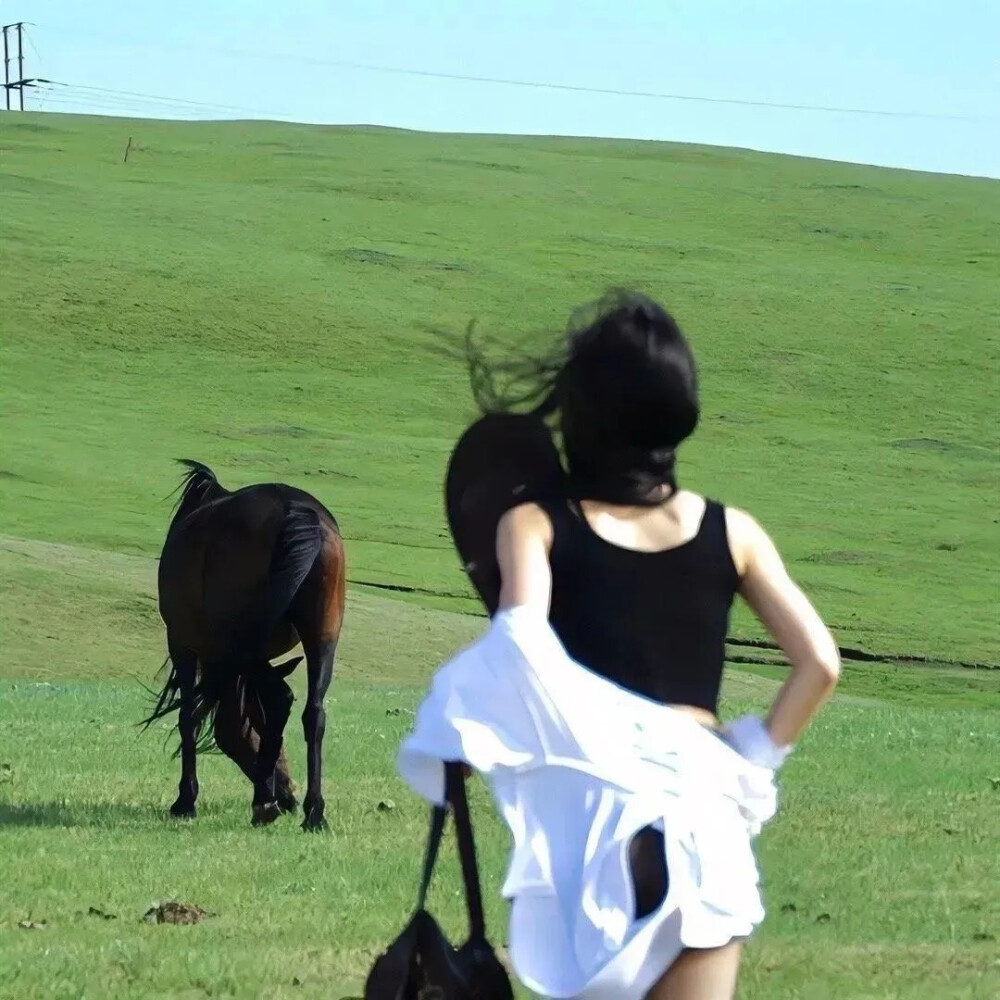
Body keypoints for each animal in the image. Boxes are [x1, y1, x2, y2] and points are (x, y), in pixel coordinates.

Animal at [143, 458, 348, 828]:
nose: (288, 794)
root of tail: (297, 513)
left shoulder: (182, 644)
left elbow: (188, 716)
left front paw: (185, 800)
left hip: (244, 643)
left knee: (282, 699)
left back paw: (265, 803)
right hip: (322, 637)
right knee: (313, 713)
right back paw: (312, 812)